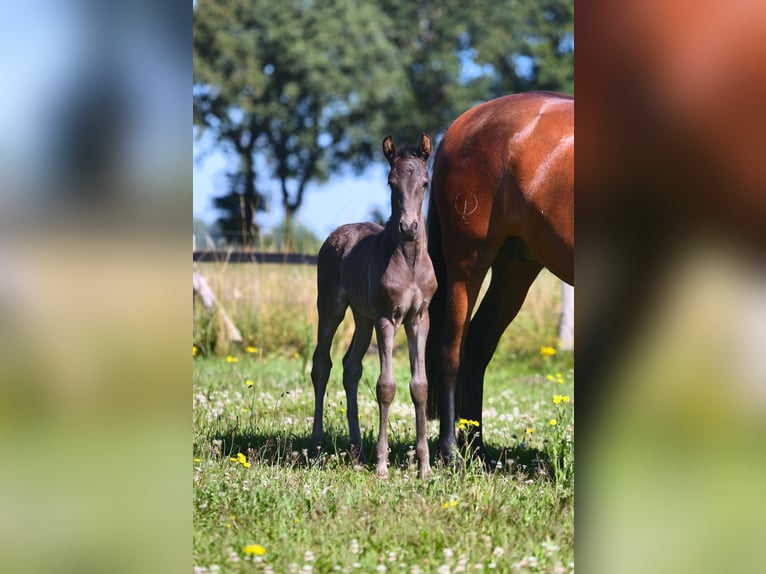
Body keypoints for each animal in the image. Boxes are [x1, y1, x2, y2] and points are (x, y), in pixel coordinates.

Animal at [308, 133, 436, 480]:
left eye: (425, 182)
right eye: (391, 182)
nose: (408, 227)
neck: (408, 262)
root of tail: (338, 233)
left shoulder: (419, 318)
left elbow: (420, 386)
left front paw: (425, 466)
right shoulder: (386, 317)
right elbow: (386, 386)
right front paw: (381, 465)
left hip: (362, 317)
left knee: (351, 366)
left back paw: (356, 449)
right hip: (332, 306)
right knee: (321, 364)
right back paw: (317, 446)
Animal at [426, 92, 576, 466]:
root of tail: (463, 122)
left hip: (516, 267)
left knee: (477, 345)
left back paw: (477, 448)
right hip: (468, 263)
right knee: (452, 349)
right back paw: (451, 451)